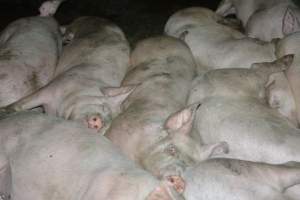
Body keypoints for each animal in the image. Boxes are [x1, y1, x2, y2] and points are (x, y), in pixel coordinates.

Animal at [0, 17, 131, 133]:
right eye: (103, 106)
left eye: (107, 126)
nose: (99, 122)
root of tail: (106, 20)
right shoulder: (55, 85)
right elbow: (23, 103)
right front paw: (4, 110)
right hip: (79, 24)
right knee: (67, 28)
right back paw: (65, 38)